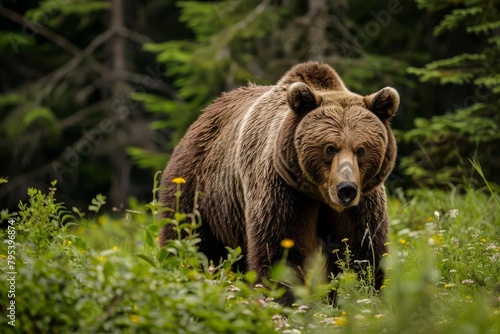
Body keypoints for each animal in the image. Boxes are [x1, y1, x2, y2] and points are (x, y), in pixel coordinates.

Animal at [159, 61, 398, 304]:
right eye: (330, 148)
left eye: (361, 149)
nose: (346, 189)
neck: (319, 194)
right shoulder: (283, 190)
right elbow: (282, 250)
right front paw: (285, 299)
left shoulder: (362, 203)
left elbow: (363, 250)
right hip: (200, 194)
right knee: (191, 242)